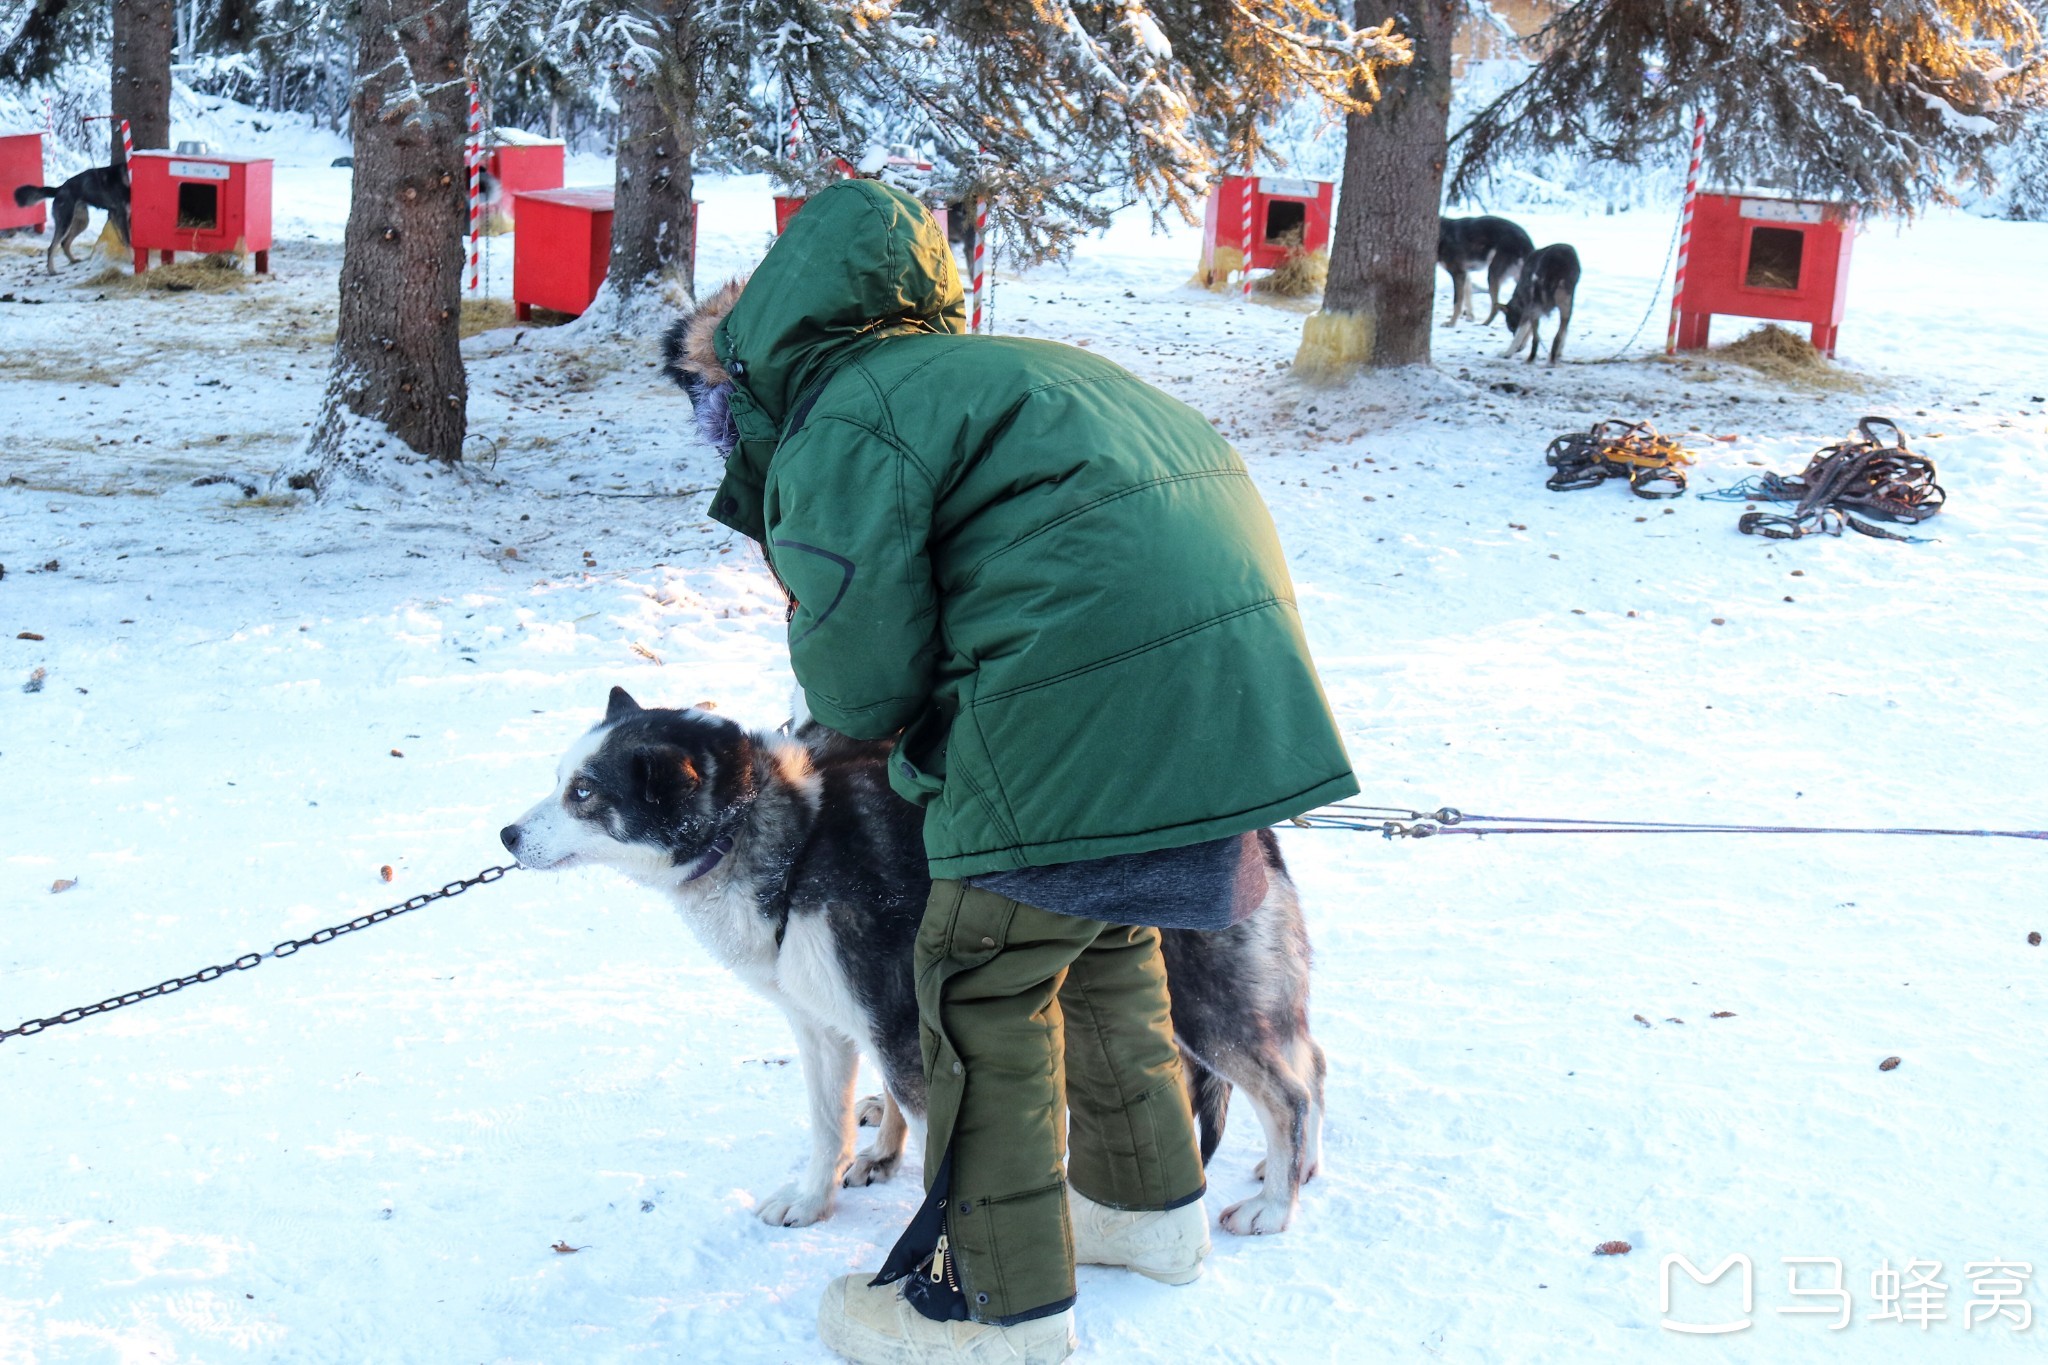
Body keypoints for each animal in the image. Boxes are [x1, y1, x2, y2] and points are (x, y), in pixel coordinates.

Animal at [495, 695, 1327, 1236]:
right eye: (561, 779)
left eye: (584, 793)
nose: (506, 834)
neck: (788, 833)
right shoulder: (825, 1025)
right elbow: (827, 1124)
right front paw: (817, 1197)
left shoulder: (895, 1019)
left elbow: (935, 1140)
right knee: (1310, 1061)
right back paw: (1298, 1171)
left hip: (1203, 1006)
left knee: (1287, 1092)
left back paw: (1275, 1206)